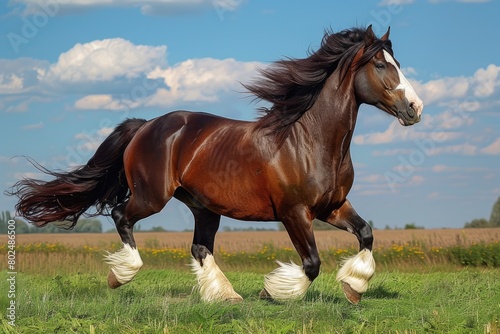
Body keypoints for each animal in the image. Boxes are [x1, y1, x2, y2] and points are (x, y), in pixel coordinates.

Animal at [8, 24, 422, 304]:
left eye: (397, 62)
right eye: (381, 65)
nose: (415, 108)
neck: (310, 141)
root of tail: (147, 125)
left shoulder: (333, 207)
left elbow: (366, 234)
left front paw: (353, 286)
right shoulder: (295, 212)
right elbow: (312, 263)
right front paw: (275, 291)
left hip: (204, 207)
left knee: (199, 247)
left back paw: (224, 295)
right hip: (152, 197)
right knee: (120, 216)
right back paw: (121, 275)